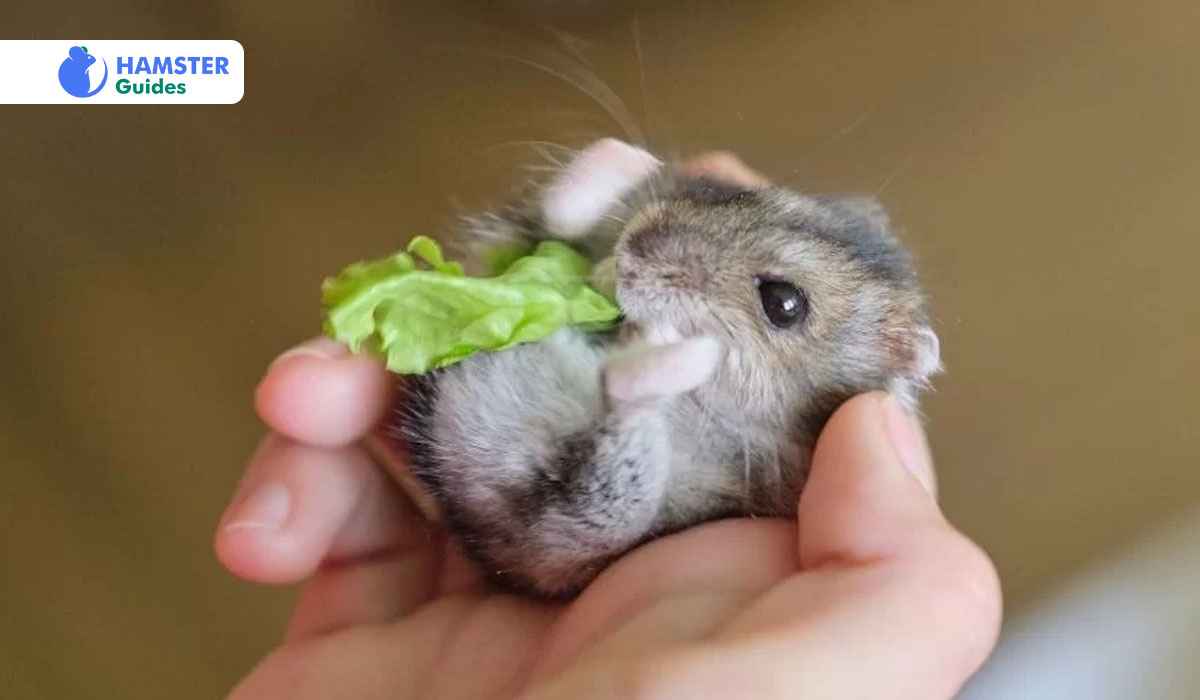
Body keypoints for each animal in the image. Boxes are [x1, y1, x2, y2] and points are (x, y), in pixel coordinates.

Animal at [393, 139, 940, 598]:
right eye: (747, 198)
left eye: (784, 303)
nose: (633, 245)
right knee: (551, 223)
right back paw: (616, 166)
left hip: (600, 517)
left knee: (619, 414)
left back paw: (678, 350)